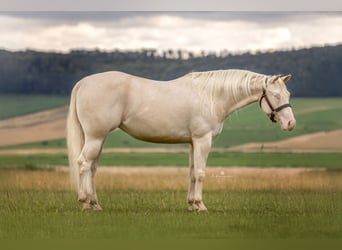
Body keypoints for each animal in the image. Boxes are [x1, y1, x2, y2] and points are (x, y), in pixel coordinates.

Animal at [66, 69, 294, 212]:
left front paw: (192, 204)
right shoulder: (203, 140)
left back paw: (95, 204)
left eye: (288, 94)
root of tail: (83, 82)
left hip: (97, 139)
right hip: (95, 137)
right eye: (275, 95)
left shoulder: (193, 142)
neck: (211, 96)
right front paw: (201, 206)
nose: (290, 123)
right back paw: (85, 202)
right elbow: (201, 173)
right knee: (83, 164)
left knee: (92, 168)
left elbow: (192, 173)